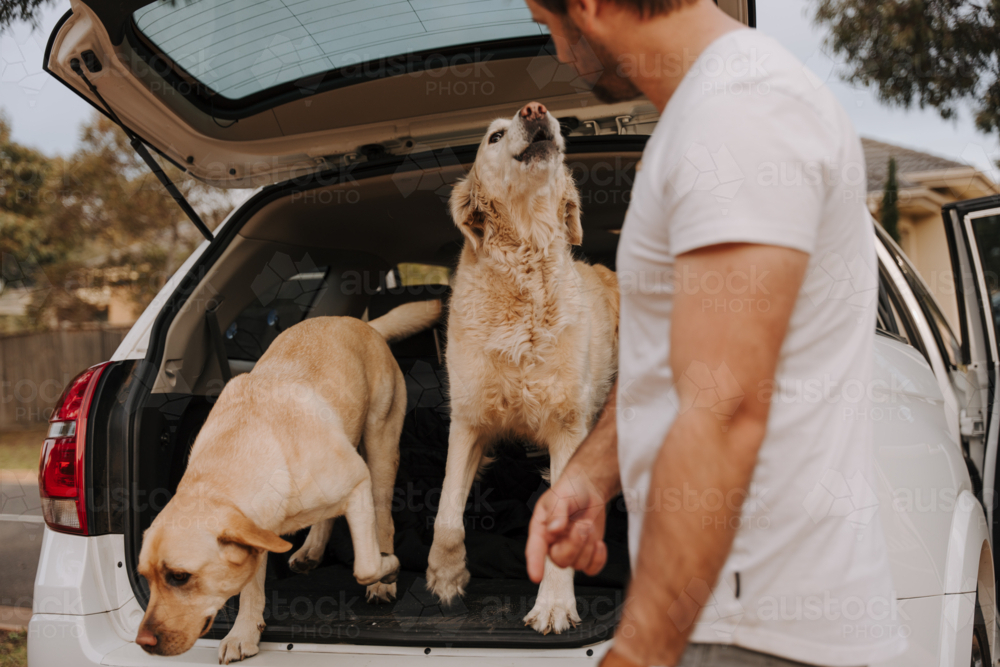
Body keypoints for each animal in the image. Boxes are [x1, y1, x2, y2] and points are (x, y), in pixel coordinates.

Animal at [135, 302, 440, 664]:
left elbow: (365, 565)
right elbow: (251, 586)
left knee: (383, 518)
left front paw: (387, 568)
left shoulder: (358, 482)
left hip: (380, 449)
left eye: (180, 577)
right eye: (145, 578)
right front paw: (244, 632)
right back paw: (312, 549)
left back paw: (383, 577)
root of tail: (361, 324)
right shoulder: (258, 531)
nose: (142, 642)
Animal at [428, 102, 620, 636]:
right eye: (494, 137)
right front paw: (446, 576)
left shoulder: (568, 425)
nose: (536, 110)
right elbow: (446, 511)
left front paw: (553, 603)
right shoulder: (469, 418)